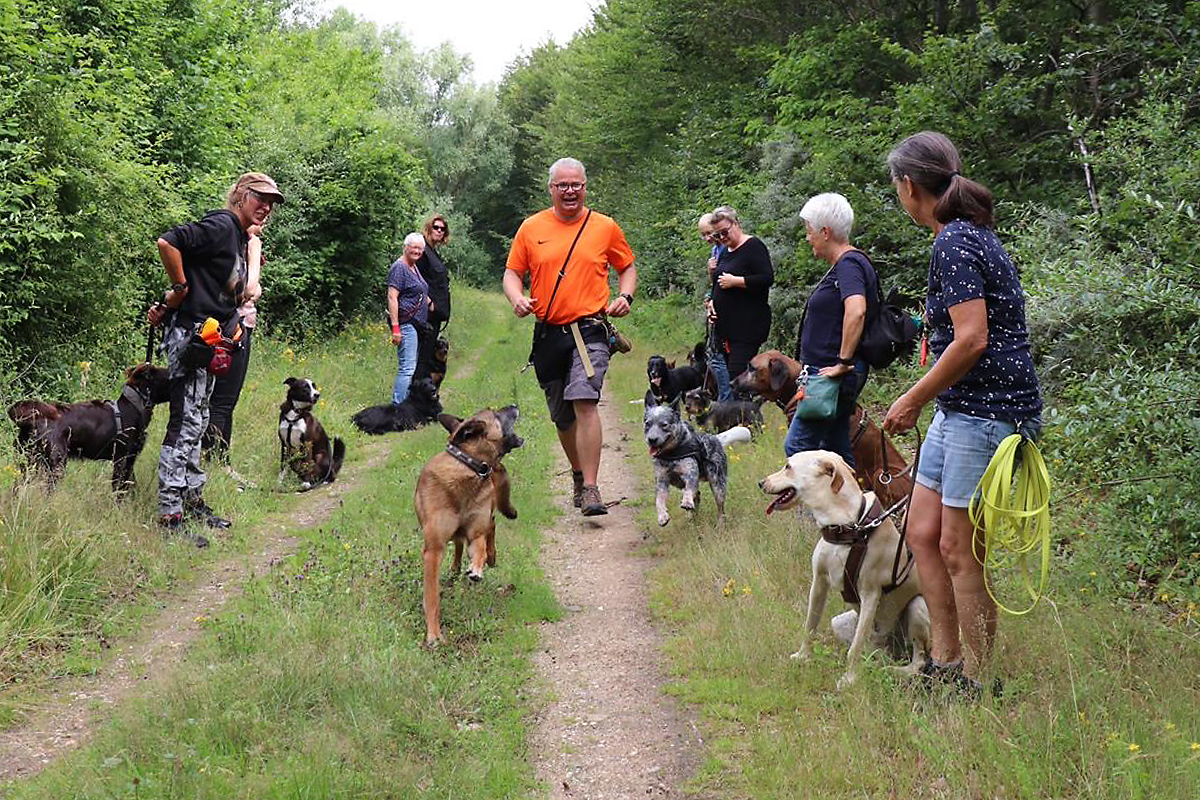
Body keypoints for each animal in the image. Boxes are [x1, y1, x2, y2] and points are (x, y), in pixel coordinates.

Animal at [415, 407, 523, 642]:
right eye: (496, 413)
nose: (513, 405)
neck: (469, 468)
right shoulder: (433, 550)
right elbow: (432, 597)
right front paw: (434, 634)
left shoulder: (476, 532)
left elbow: (479, 548)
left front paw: (477, 568)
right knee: (458, 544)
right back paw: (455, 569)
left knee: (491, 526)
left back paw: (490, 557)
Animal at [643, 393, 744, 527]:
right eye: (648, 423)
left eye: (664, 425)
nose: (652, 439)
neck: (672, 454)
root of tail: (716, 438)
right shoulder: (661, 480)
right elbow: (659, 500)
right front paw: (662, 517)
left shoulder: (691, 473)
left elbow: (689, 488)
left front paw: (686, 502)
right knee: (698, 496)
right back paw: (692, 517)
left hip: (717, 483)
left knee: (720, 507)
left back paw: (720, 524)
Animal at [758, 450, 926, 690]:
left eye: (788, 467)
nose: (761, 483)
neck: (846, 525)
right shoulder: (819, 582)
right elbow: (810, 626)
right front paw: (803, 656)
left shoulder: (870, 595)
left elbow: (854, 649)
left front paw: (849, 680)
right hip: (840, 623)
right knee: (876, 651)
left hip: (918, 606)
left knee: (918, 660)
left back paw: (897, 670)